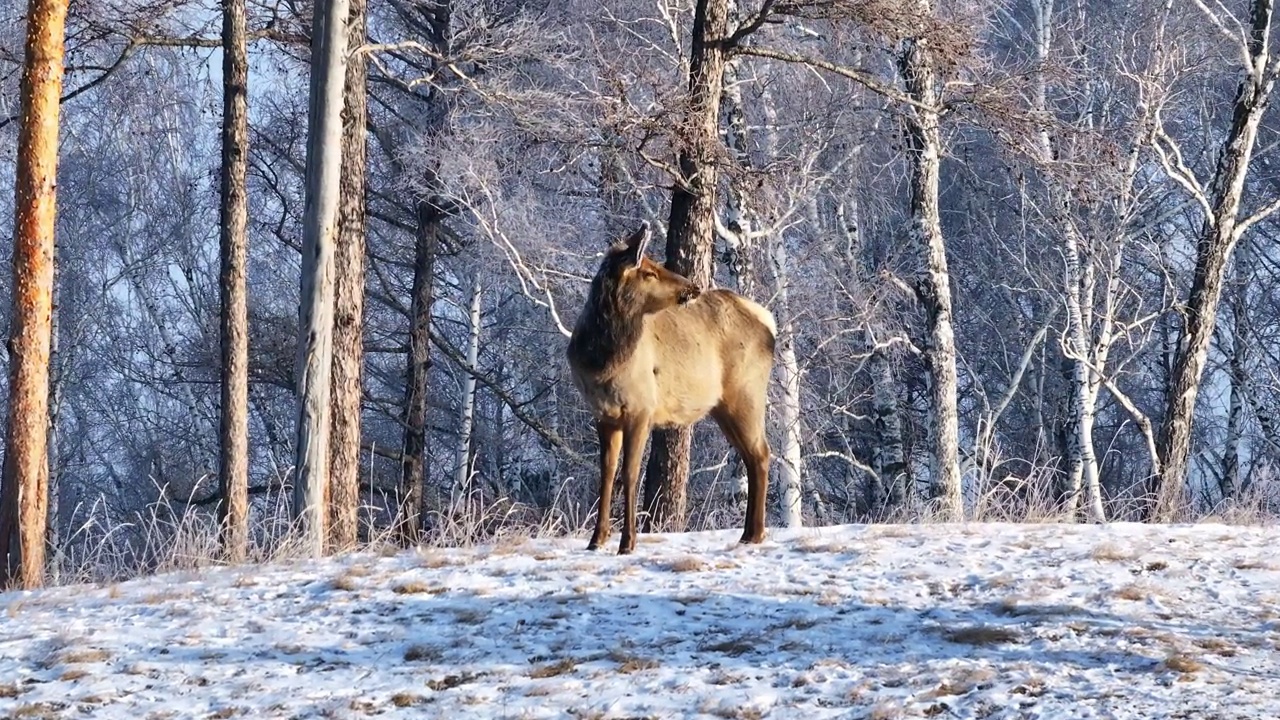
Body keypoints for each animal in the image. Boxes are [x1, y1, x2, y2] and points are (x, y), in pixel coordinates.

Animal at [570, 221, 778, 550]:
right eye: (649, 272)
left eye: (656, 265)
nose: (691, 286)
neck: (601, 363)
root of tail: (769, 321)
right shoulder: (603, 415)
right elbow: (607, 473)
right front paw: (596, 540)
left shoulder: (642, 408)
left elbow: (631, 473)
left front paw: (627, 542)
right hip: (724, 407)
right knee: (751, 456)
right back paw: (747, 534)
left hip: (747, 394)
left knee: (761, 453)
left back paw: (756, 533)